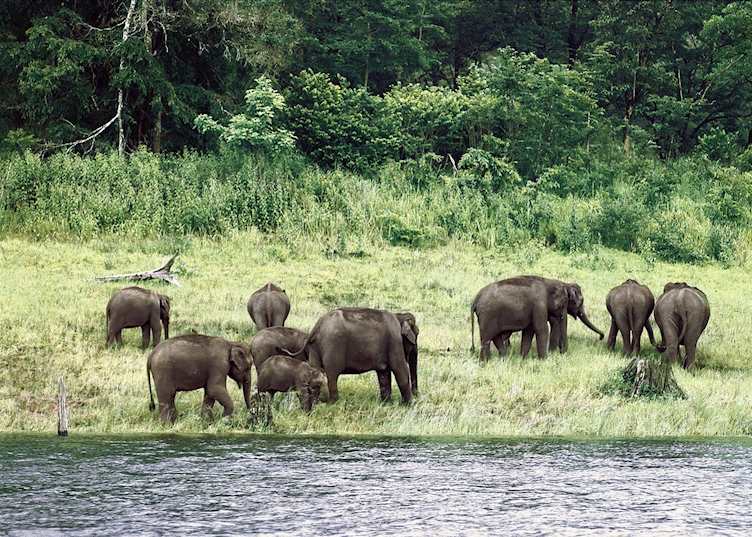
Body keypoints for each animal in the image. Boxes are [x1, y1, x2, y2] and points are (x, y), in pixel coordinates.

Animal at [282, 308, 413, 404]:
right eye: (415, 336)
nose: (416, 395)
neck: (399, 316)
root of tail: (317, 326)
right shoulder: (395, 341)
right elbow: (400, 370)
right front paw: (408, 406)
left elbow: (384, 373)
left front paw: (386, 404)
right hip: (333, 345)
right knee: (332, 375)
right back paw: (333, 403)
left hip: (314, 348)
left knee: (317, 371)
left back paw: (316, 402)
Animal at [471, 276, 603, 361]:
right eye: (580, 301)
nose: (601, 337)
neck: (549, 282)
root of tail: (475, 299)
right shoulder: (539, 305)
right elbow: (542, 329)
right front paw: (544, 360)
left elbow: (529, 332)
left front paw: (523, 359)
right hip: (487, 316)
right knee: (486, 339)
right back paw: (485, 362)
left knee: (495, 338)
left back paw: (502, 359)